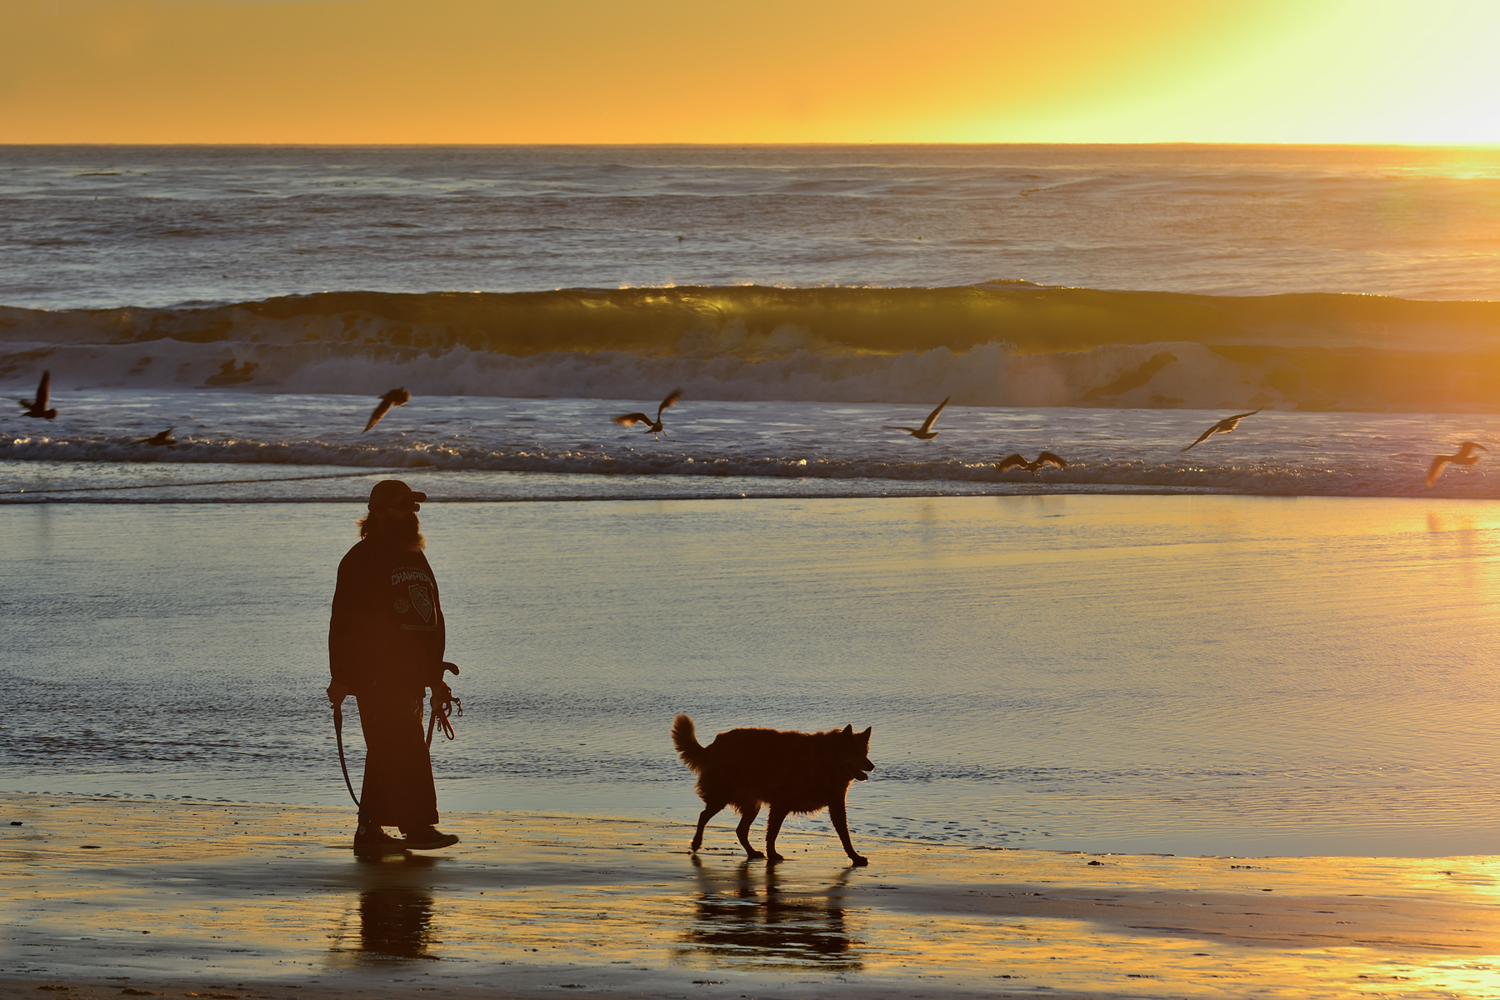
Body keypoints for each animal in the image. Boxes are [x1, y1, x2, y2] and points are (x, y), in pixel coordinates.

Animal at [675, 716, 876, 863]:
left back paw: (752, 853)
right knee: (704, 816)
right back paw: (696, 842)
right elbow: (772, 833)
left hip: (751, 805)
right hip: (722, 796)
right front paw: (772, 855)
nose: (872, 767)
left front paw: (855, 857)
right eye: (855, 752)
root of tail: (714, 744)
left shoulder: (836, 805)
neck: (825, 760)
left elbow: (845, 835)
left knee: (740, 830)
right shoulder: (780, 804)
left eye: (865, 753)